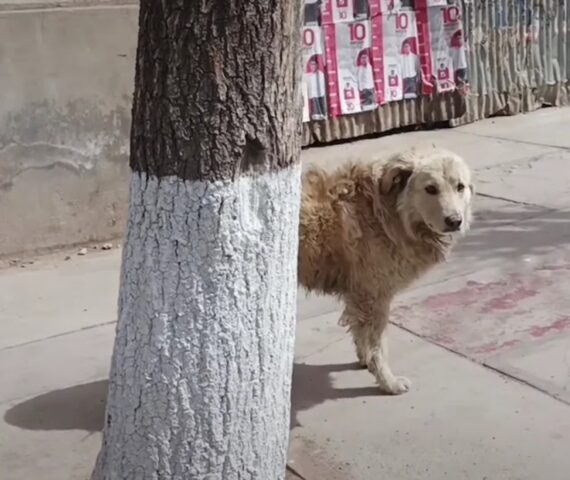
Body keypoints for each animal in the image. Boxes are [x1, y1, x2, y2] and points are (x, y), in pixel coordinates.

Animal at [298, 149, 470, 394]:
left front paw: (365, 361)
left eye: (460, 187)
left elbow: (360, 333)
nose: (455, 221)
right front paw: (388, 382)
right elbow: (378, 346)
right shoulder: (375, 297)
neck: (387, 212)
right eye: (430, 188)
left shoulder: (359, 294)